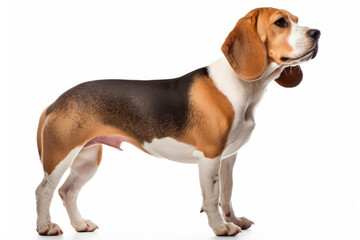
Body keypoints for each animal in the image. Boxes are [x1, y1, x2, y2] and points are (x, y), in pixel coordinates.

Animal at [35, 7, 320, 236]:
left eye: (297, 20)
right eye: (280, 22)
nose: (317, 33)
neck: (243, 87)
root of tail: (56, 101)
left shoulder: (228, 158)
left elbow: (227, 194)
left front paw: (234, 220)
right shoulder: (210, 157)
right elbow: (213, 197)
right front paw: (221, 227)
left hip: (87, 159)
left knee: (67, 191)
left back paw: (80, 224)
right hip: (60, 156)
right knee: (44, 190)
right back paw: (45, 227)